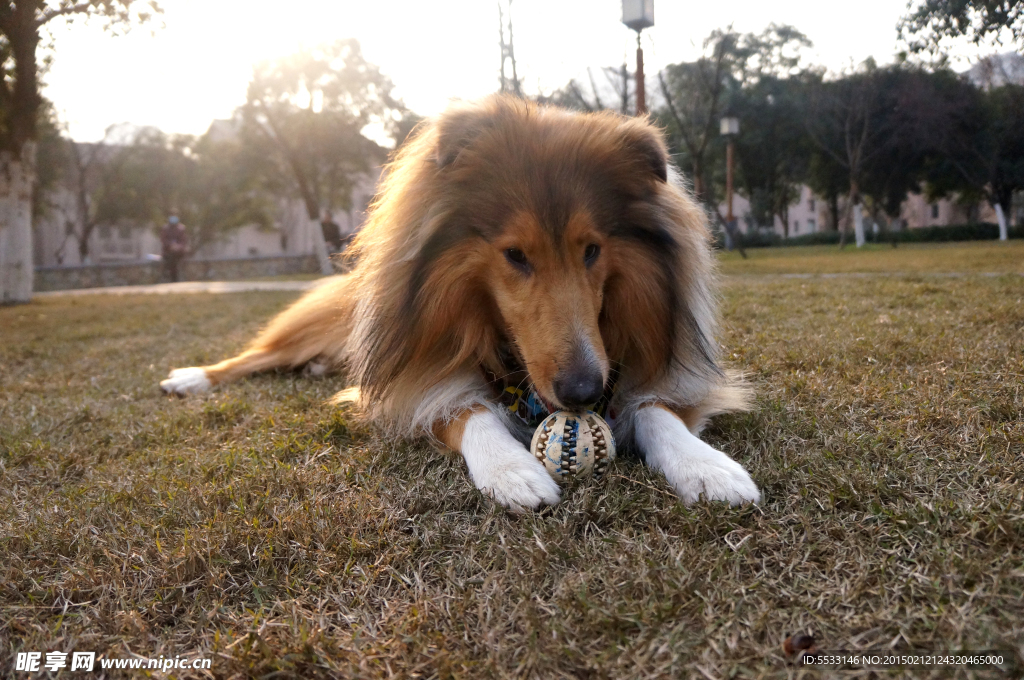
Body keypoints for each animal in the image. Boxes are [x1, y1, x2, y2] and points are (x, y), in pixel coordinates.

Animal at [161, 95, 761, 510]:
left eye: (592, 249)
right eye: (515, 254)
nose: (584, 393)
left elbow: (660, 412)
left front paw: (709, 467)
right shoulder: (410, 388)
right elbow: (467, 411)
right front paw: (511, 471)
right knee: (257, 354)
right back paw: (192, 377)